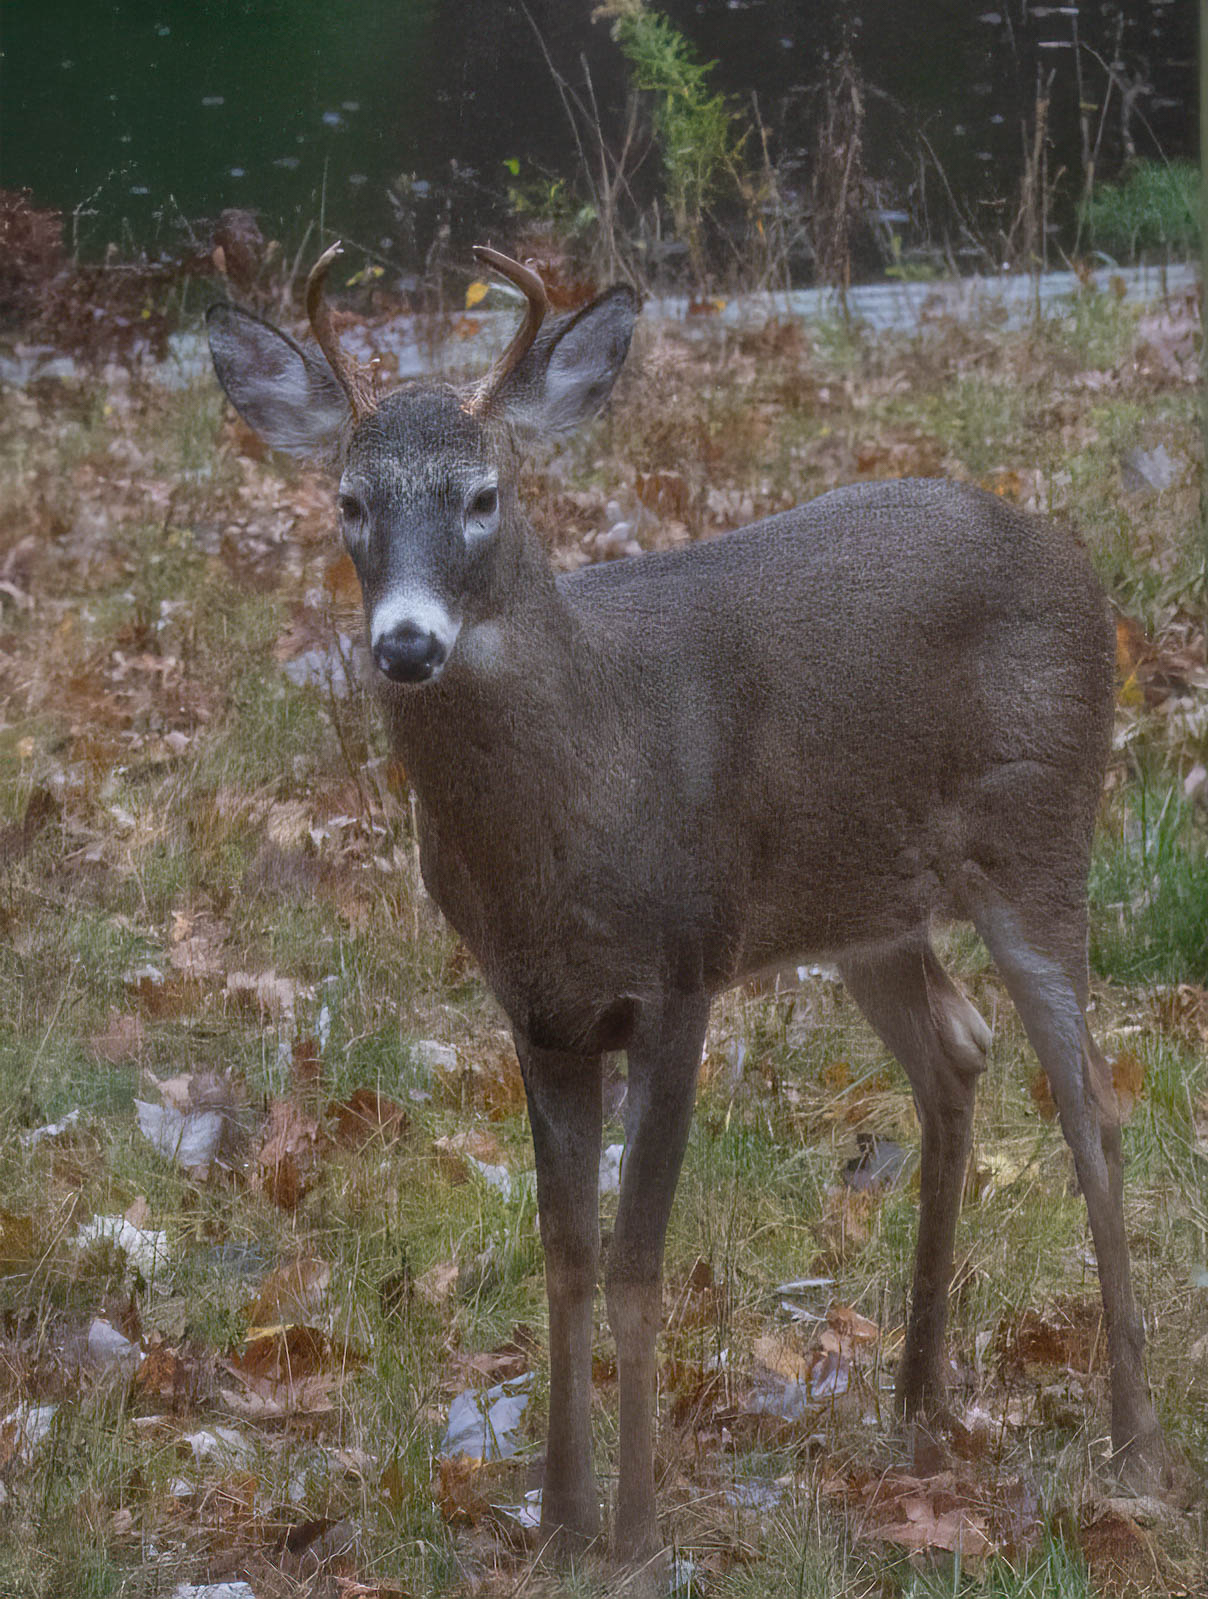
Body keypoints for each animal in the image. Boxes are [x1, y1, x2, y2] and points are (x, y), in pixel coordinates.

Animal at [208, 246, 1184, 1560]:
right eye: (348, 503)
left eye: (483, 496)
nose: (406, 645)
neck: (572, 806)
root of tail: (1073, 559)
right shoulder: (536, 1009)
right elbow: (564, 1254)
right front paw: (557, 1519)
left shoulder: (679, 971)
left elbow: (635, 1260)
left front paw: (632, 1534)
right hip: (864, 905)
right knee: (955, 1049)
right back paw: (915, 1405)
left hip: (1040, 830)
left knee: (1091, 1105)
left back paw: (1133, 1445)